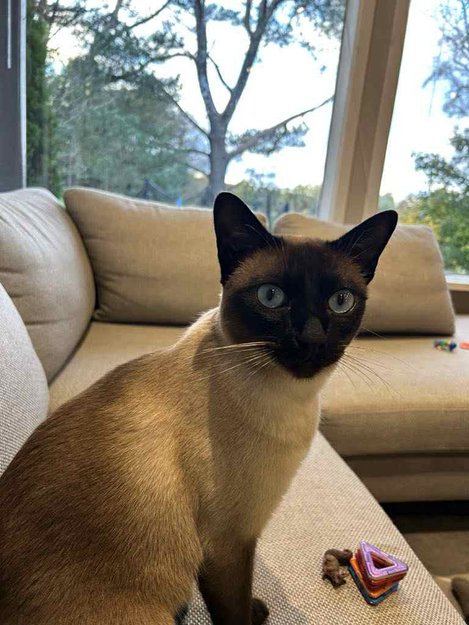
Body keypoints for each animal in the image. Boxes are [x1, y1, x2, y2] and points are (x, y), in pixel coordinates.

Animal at [0, 192, 397, 625]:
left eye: (340, 301)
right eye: (271, 296)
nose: (310, 340)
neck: (294, 401)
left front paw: (257, 609)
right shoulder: (228, 544)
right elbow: (233, 609)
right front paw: (252, 614)